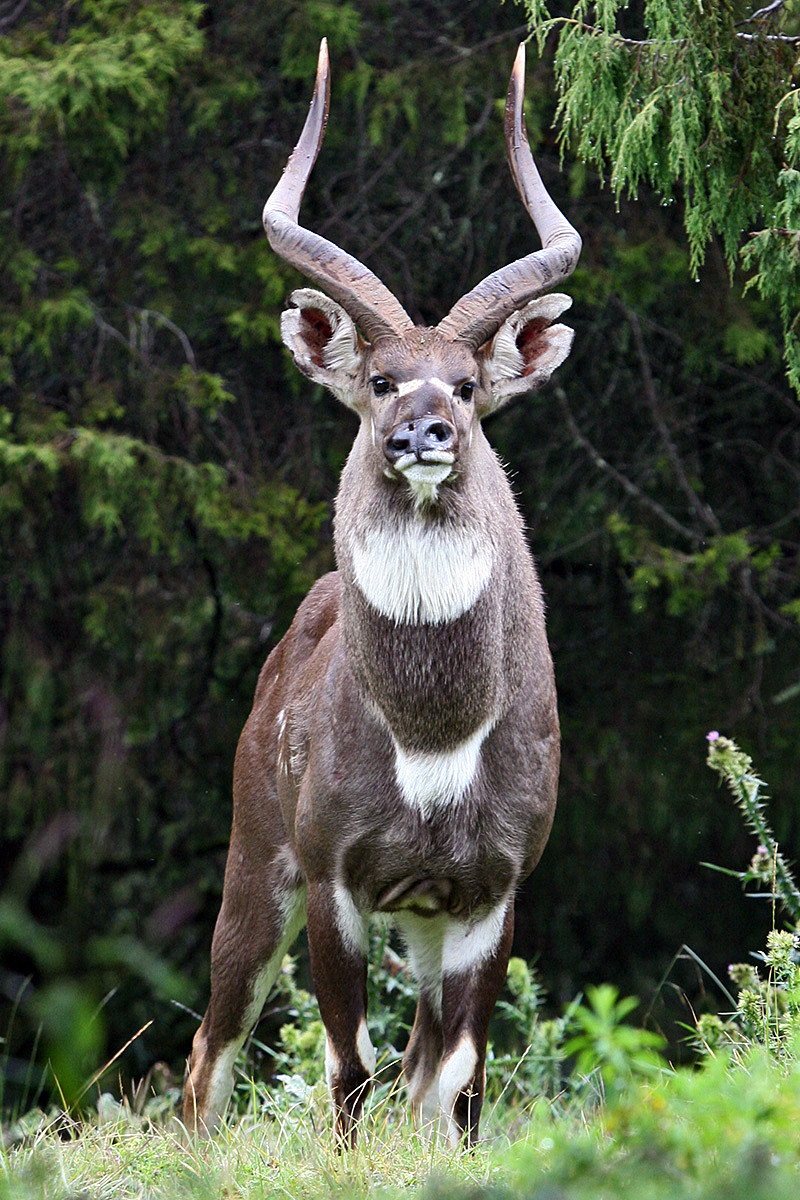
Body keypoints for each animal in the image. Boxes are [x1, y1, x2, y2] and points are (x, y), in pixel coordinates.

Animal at [183, 39, 580, 1147]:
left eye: (468, 386)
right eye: (378, 379)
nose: (421, 434)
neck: (434, 736)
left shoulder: (490, 890)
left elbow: (458, 1084)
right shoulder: (334, 876)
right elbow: (345, 1070)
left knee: (417, 1069)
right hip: (253, 868)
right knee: (208, 1053)